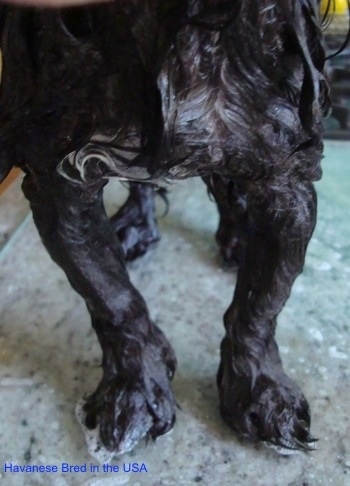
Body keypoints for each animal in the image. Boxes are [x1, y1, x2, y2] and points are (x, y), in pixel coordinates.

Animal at [0, 0, 334, 456]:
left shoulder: (287, 170)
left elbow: (263, 301)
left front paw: (262, 390)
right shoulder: (55, 174)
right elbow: (110, 295)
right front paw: (134, 388)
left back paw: (237, 234)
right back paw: (136, 226)